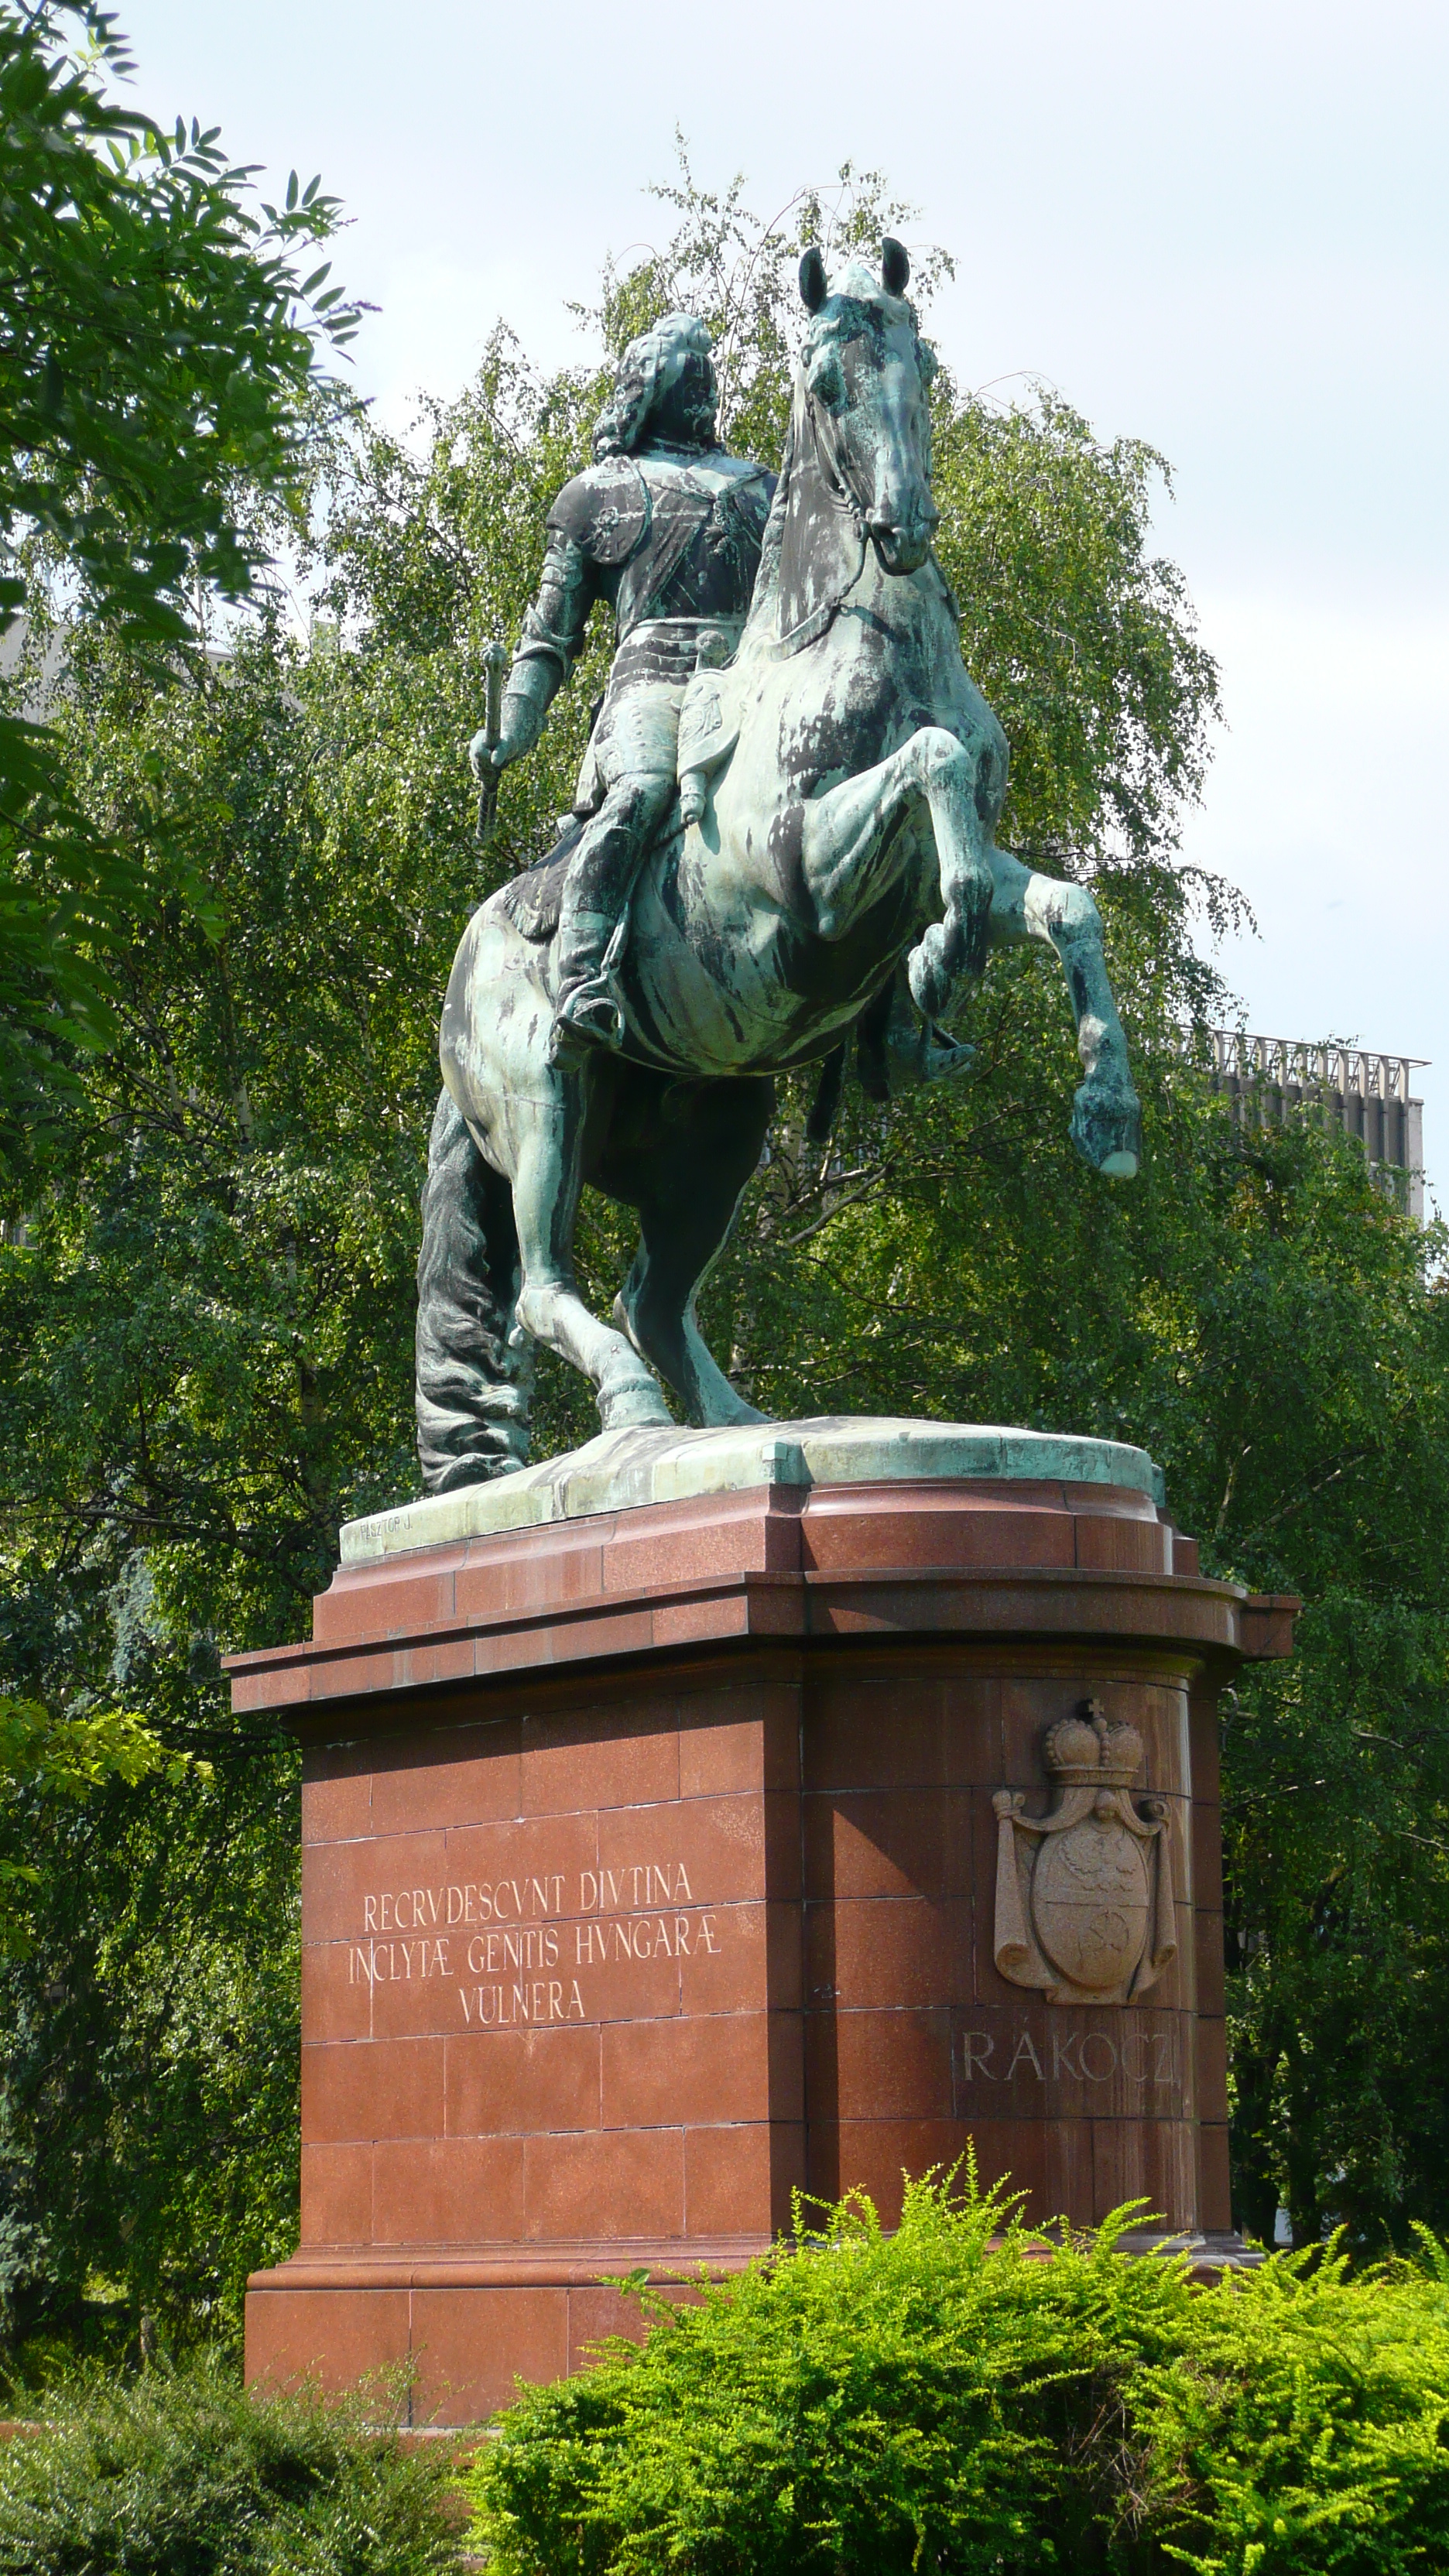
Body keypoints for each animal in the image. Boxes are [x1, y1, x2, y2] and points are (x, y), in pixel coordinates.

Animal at [417, 245, 1139, 1494]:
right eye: (830, 381)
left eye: (920, 365)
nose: (904, 528)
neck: (865, 645)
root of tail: (463, 974)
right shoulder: (806, 883)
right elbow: (935, 765)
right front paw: (943, 960)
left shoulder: (941, 873)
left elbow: (1064, 902)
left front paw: (1102, 1106)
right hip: (543, 1105)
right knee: (548, 1292)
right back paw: (637, 1413)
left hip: (715, 1138)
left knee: (651, 1297)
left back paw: (742, 1428)